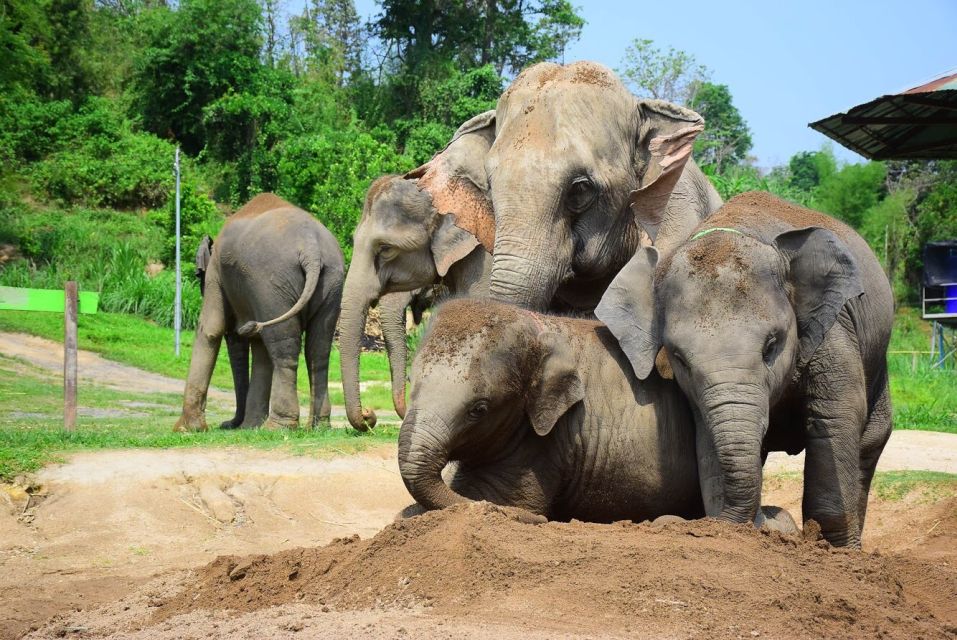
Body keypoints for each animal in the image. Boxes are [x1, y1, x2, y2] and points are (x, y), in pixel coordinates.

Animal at [174, 193, 344, 432]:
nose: (229, 424)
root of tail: (311, 250)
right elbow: (260, 347)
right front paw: (249, 427)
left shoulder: (217, 273)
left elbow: (210, 328)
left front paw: (186, 429)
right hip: (331, 282)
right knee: (318, 348)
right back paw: (317, 427)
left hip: (273, 284)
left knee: (284, 348)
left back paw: (277, 427)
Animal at [398, 297, 798, 534]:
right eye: (411, 384)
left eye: (478, 409)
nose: (545, 521)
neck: (538, 327)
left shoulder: (544, 442)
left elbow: (499, 499)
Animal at [596, 191, 894, 547]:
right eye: (680, 358)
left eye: (771, 346)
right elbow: (707, 435)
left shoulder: (833, 330)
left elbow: (836, 415)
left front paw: (834, 549)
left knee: (869, 444)